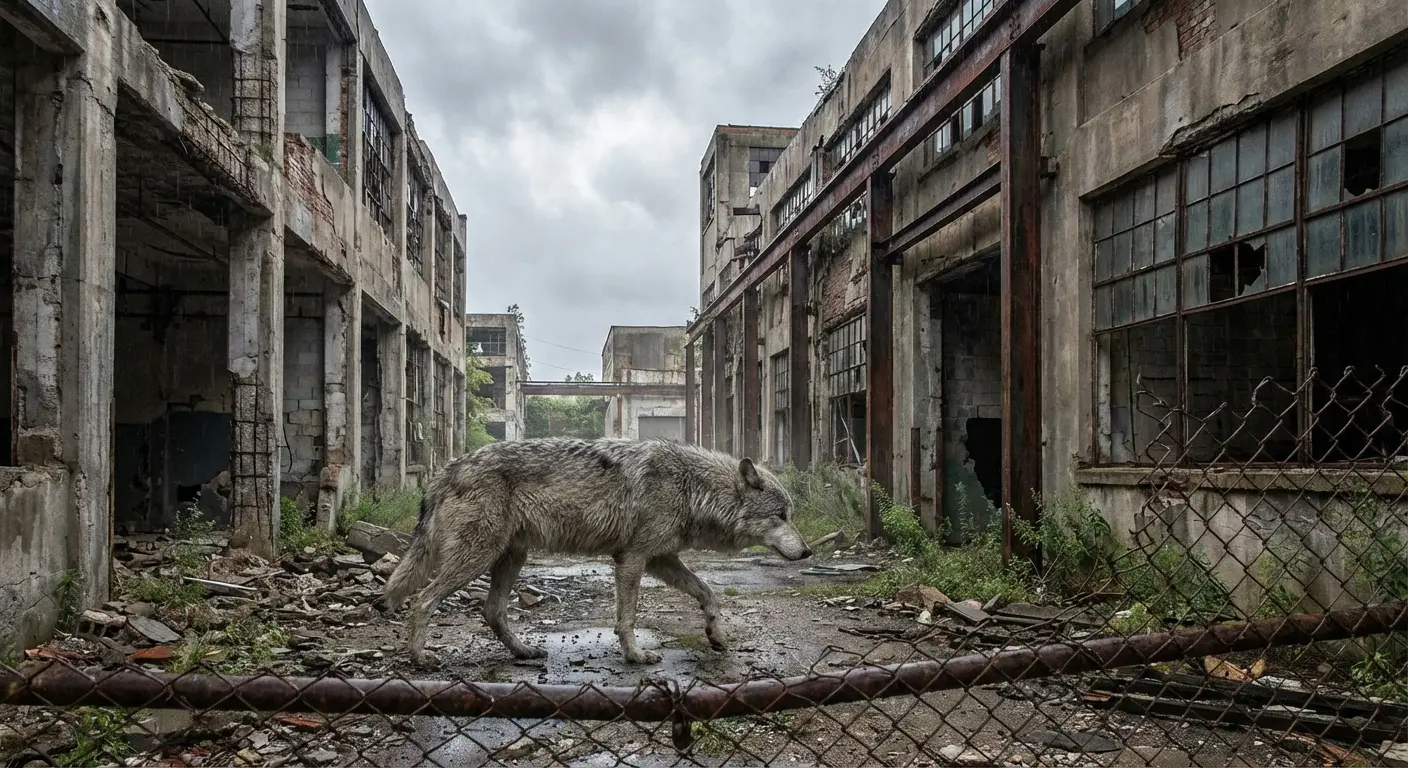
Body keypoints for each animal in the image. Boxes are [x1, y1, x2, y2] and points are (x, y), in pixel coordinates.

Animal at [380, 437, 813, 666]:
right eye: (781, 515)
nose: (809, 551)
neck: (693, 488)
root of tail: (447, 469)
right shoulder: (633, 559)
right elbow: (627, 618)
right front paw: (636, 656)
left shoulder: (661, 560)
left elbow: (709, 593)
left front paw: (717, 635)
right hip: (476, 558)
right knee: (423, 600)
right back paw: (419, 658)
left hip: (510, 558)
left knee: (492, 611)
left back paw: (524, 651)